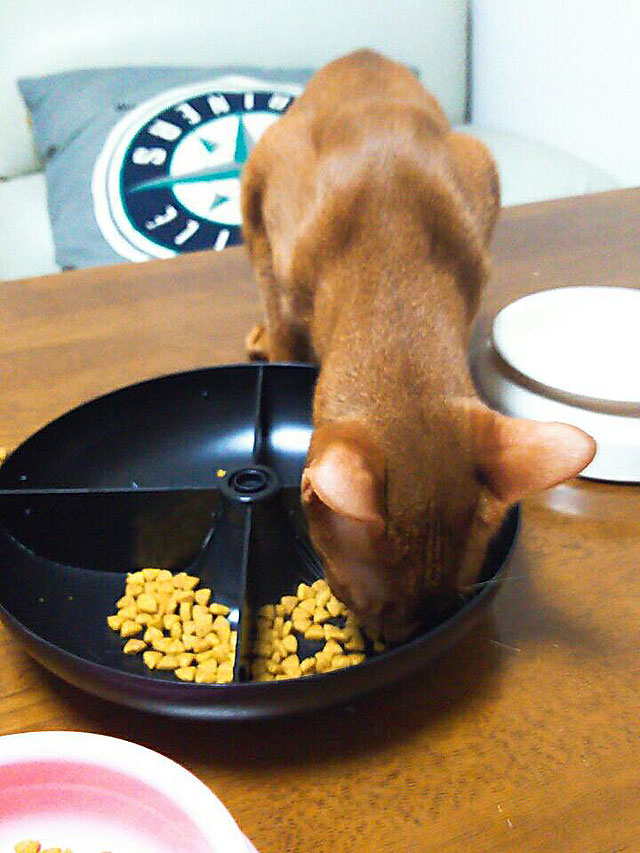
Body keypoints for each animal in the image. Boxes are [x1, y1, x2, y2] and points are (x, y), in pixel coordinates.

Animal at [240, 49, 596, 642]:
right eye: (370, 604)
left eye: (447, 605)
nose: (398, 639)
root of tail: (364, 54)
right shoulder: (281, 258)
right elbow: (283, 318)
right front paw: (280, 344)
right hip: (259, 168)